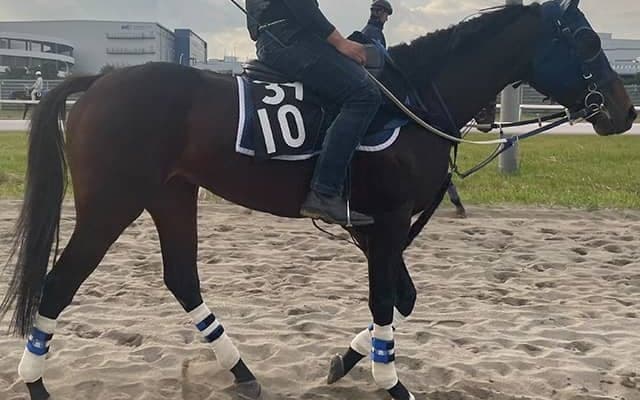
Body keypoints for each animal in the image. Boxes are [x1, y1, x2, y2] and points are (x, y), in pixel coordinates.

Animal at [1, 1, 636, 399]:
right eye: (585, 40)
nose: (624, 110)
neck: (414, 98)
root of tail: (100, 80)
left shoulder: (382, 229)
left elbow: (401, 300)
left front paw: (350, 359)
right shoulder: (386, 223)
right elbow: (387, 301)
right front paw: (390, 382)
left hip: (172, 196)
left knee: (181, 277)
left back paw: (241, 371)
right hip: (111, 204)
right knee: (59, 284)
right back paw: (36, 382)